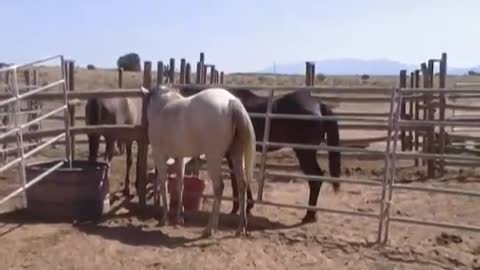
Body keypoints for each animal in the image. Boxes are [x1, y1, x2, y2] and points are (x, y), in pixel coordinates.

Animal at [141, 86, 256, 236]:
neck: (163, 108)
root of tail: (232, 101)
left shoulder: (160, 157)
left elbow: (163, 185)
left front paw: (164, 218)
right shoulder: (180, 158)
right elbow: (180, 185)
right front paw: (179, 218)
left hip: (214, 158)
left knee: (219, 188)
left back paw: (210, 229)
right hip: (236, 155)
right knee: (242, 184)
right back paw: (240, 228)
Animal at [180, 87, 342, 224]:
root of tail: (319, 105)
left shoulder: (231, 154)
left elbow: (235, 179)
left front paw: (237, 208)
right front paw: (246, 206)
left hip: (305, 153)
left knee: (316, 178)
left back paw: (309, 215)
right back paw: (311, 214)